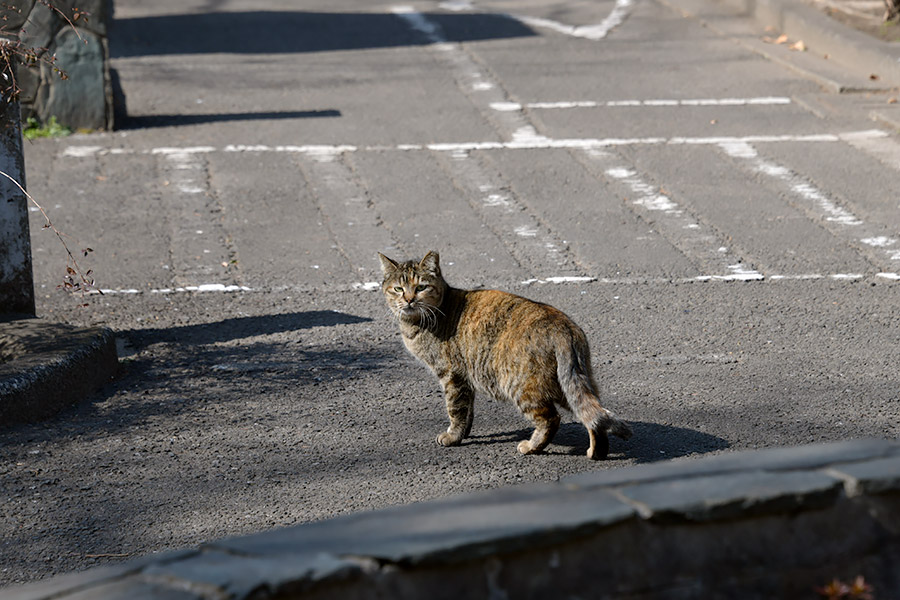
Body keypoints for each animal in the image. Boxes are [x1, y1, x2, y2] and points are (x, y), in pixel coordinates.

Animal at [380, 248, 632, 460]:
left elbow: (456, 409)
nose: (408, 299)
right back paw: (596, 452)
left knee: (552, 419)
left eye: (421, 287)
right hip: (572, 384)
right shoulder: (466, 379)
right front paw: (464, 433)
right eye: (398, 289)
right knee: (594, 415)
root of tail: (563, 327)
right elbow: (468, 410)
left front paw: (452, 436)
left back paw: (531, 447)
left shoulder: (452, 375)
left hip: (521, 386)